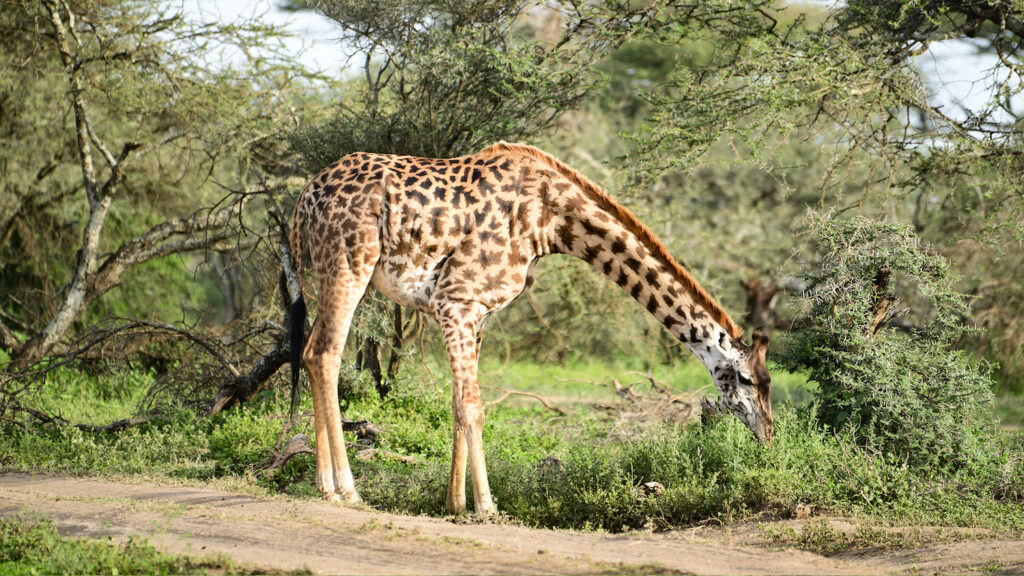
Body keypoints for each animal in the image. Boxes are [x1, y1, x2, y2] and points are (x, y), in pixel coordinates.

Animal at [286, 141, 770, 512]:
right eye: (746, 379)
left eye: (768, 383)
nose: (768, 435)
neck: (552, 220)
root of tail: (305, 196)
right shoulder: (457, 300)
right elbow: (474, 407)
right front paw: (486, 507)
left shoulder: (476, 311)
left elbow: (458, 405)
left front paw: (453, 504)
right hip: (350, 262)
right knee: (326, 353)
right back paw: (347, 491)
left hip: (335, 270)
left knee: (310, 352)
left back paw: (324, 486)